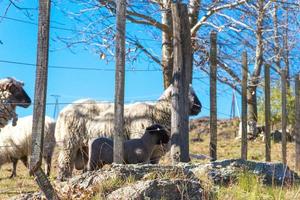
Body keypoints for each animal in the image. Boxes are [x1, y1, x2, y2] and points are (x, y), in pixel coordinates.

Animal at [56, 83, 202, 180]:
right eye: (183, 93)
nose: (198, 106)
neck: (159, 112)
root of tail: (63, 110)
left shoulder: (155, 155)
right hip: (69, 143)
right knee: (64, 163)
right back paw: (63, 180)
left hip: (85, 148)